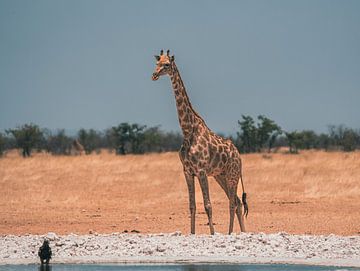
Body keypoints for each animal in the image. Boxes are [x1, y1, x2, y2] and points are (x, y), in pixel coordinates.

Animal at [151, 50, 248, 235]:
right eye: (156, 62)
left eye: (167, 64)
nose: (154, 75)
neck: (188, 130)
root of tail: (239, 155)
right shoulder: (188, 172)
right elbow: (192, 206)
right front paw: (192, 233)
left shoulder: (201, 171)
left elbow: (208, 205)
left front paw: (212, 233)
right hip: (220, 175)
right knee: (238, 202)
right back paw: (239, 232)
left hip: (232, 174)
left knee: (233, 202)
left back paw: (232, 233)